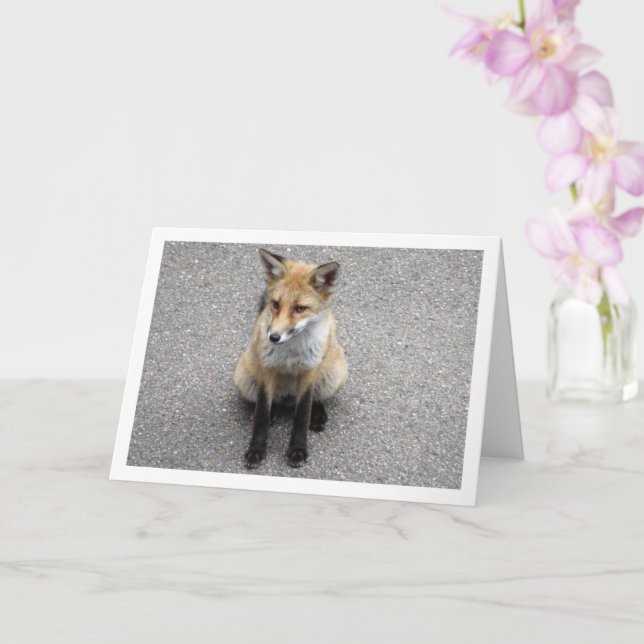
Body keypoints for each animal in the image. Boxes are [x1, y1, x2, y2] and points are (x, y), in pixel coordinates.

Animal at [233, 248, 348, 469]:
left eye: (299, 309)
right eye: (276, 304)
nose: (273, 337)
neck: (291, 354)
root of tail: (287, 398)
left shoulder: (309, 370)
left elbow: (302, 413)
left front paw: (298, 450)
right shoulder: (267, 369)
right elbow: (261, 414)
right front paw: (256, 450)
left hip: (334, 375)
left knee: (315, 398)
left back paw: (317, 415)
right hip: (243, 378)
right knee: (267, 404)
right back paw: (273, 413)